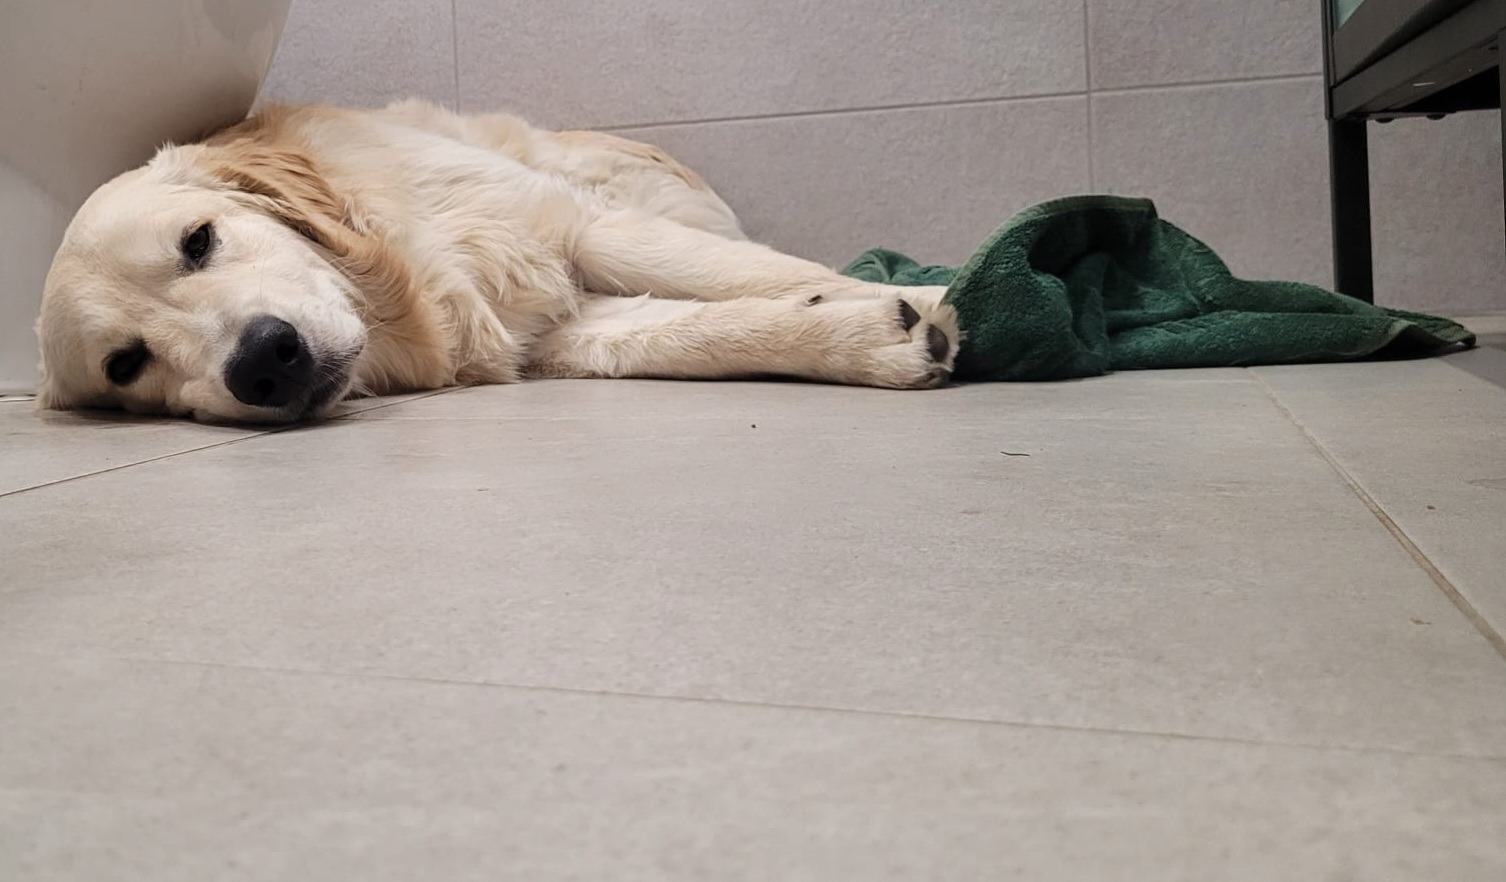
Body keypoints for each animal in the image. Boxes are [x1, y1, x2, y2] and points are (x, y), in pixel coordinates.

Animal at [34, 100, 958, 423]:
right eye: (125, 365)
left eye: (199, 241)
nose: (266, 361)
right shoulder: (564, 331)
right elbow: (698, 333)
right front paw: (865, 336)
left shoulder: (576, 228)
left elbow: (751, 275)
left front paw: (938, 291)